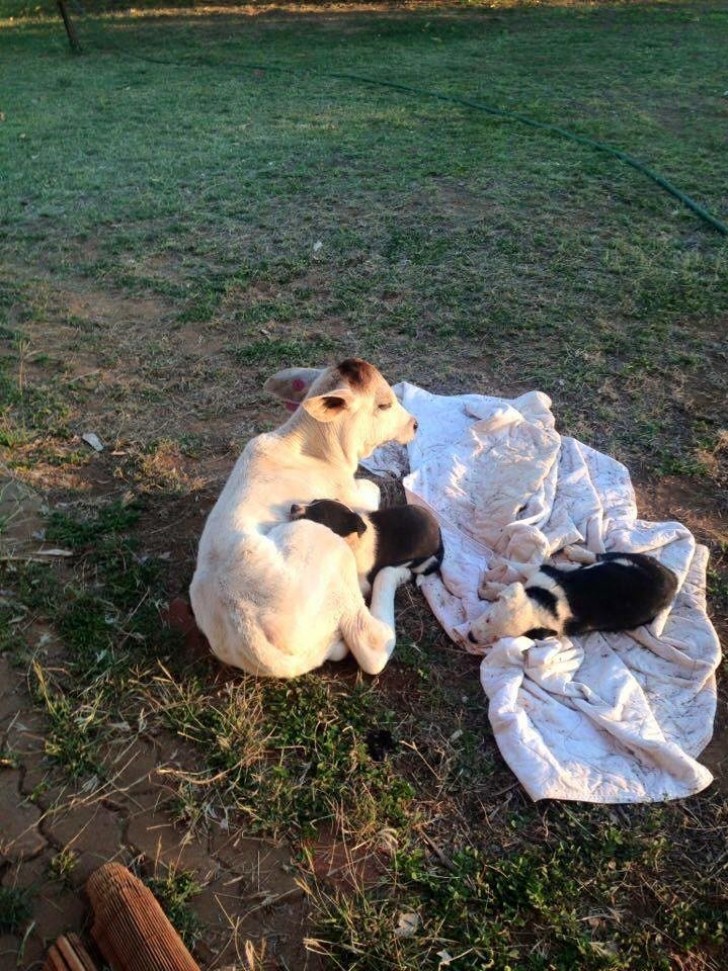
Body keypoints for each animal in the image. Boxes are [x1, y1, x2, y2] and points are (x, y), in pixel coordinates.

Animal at [290, 502, 444, 592]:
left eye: (319, 516)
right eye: (312, 501)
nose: (293, 506)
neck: (353, 541)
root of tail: (438, 528)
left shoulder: (363, 582)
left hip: (422, 563)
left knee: (427, 568)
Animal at [470, 552, 680, 648]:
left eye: (500, 638)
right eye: (488, 618)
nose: (470, 638)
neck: (545, 603)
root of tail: (673, 579)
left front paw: (490, 585)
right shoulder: (541, 572)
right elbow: (520, 566)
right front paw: (496, 566)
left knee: (599, 555)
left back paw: (574, 553)